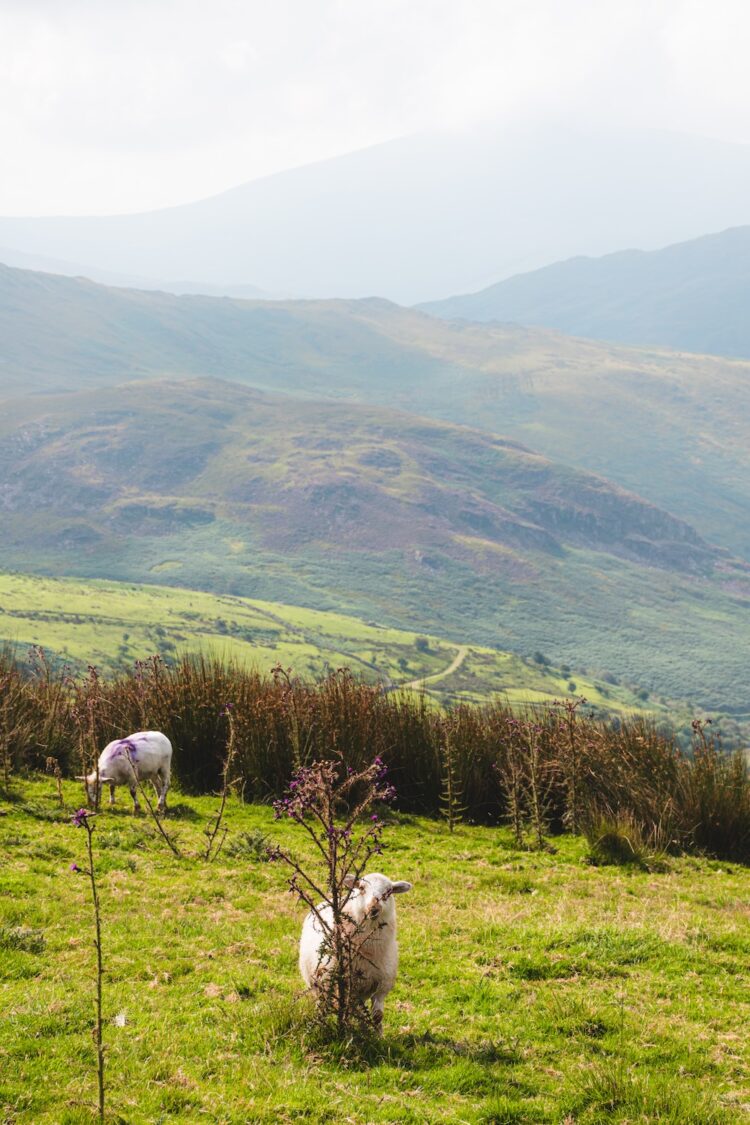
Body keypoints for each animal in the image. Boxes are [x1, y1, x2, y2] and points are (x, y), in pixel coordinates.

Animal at [299, 868, 413, 1035]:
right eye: (361, 888)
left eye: (388, 892)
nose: (374, 908)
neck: (369, 949)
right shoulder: (344, 983)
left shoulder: (383, 983)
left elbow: (377, 1015)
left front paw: (378, 1036)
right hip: (316, 981)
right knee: (322, 1002)